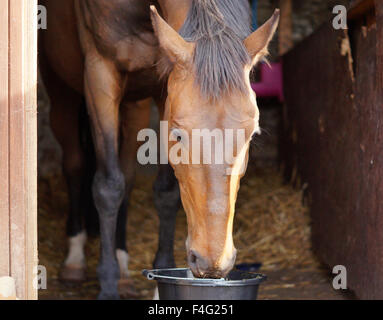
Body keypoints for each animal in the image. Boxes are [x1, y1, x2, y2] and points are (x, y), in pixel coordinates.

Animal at [38, 0, 280, 300]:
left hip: (135, 106)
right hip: (61, 93)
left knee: (127, 176)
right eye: (178, 134)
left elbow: (165, 193)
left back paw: (122, 268)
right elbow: (108, 187)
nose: (212, 263)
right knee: (75, 165)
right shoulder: (100, 73)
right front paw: (107, 285)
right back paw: (75, 258)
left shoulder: (165, 89)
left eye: (251, 136)